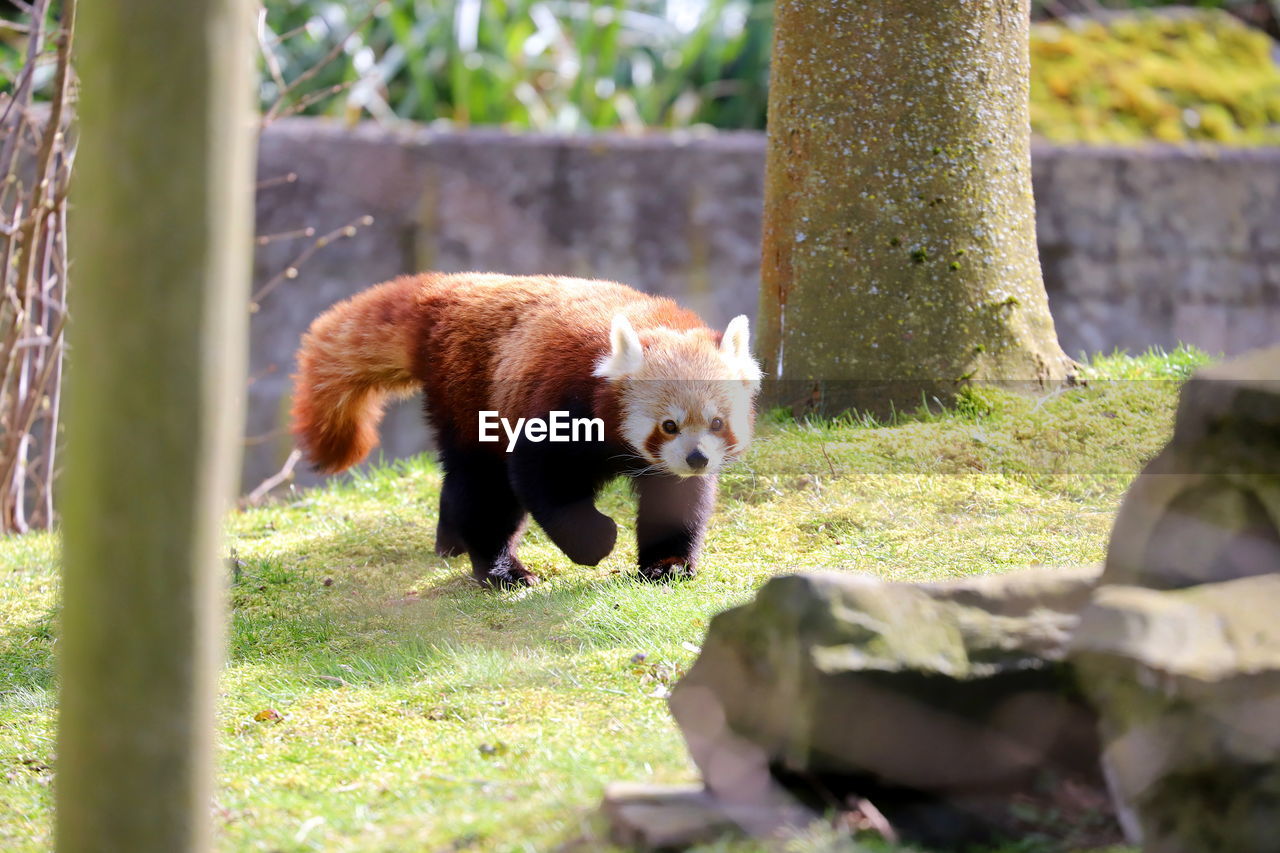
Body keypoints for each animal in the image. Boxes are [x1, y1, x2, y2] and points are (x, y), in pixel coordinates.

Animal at [293, 272, 757, 584]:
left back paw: (451, 542)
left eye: (717, 422)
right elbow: (542, 482)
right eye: (668, 425)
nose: (696, 458)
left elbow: (678, 501)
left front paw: (668, 565)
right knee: (482, 487)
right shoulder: (560, 402)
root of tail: (453, 290)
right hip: (472, 393)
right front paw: (597, 541)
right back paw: (501, 570)